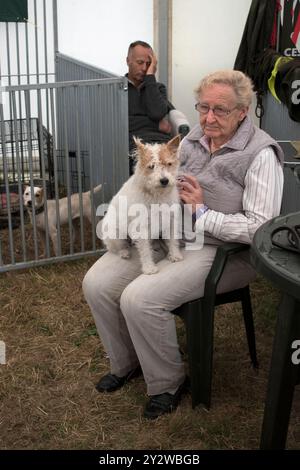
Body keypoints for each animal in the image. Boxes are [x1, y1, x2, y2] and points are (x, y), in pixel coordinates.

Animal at [99, 134, 183, 274]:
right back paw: (124, 252)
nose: (164, 180)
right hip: (114, 233)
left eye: (169, 164)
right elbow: (145, 251)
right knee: (116, 247)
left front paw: (175, 255)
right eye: (151, 166)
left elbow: (172, 240)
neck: (157, 195)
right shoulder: (140, 227)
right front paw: (149, 268)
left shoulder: (171, 220)